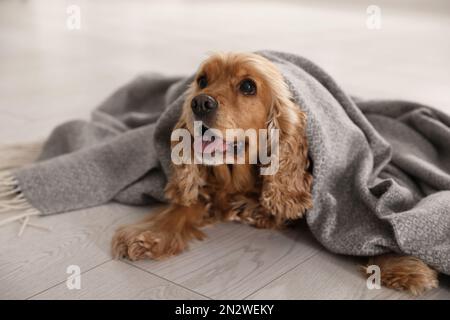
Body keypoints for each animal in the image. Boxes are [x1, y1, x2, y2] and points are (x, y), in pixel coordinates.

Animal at [110, 52, 438, 296]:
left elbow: (361, 228)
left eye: (248, 86)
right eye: (202, 80)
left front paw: (401, 266)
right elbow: (179, 209)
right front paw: (147, 235)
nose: (199, 102)